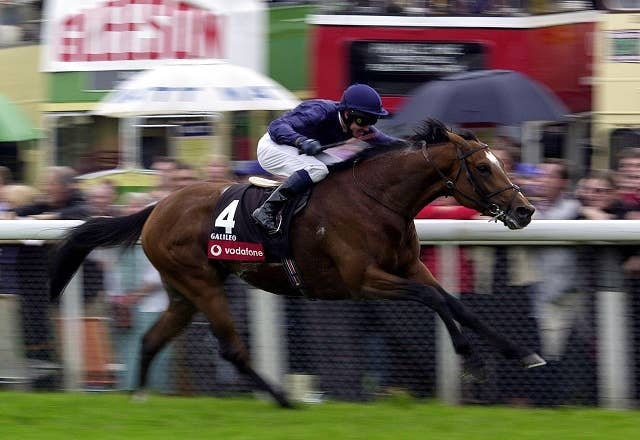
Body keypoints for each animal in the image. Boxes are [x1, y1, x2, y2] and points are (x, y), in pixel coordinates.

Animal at [49, 119, 544, 407]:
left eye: (498, 161)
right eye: (483, 167)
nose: (524, 211)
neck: (378, 199)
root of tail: (156, 207)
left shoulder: (408, 267)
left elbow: (454, 303)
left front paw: (520, 354)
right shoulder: (363, 280)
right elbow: (433, 299)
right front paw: (470, 360)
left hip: (183, 292)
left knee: (153, 338)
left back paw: (137, 397)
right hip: (202, 285)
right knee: (232, 349)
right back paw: (285, 399)